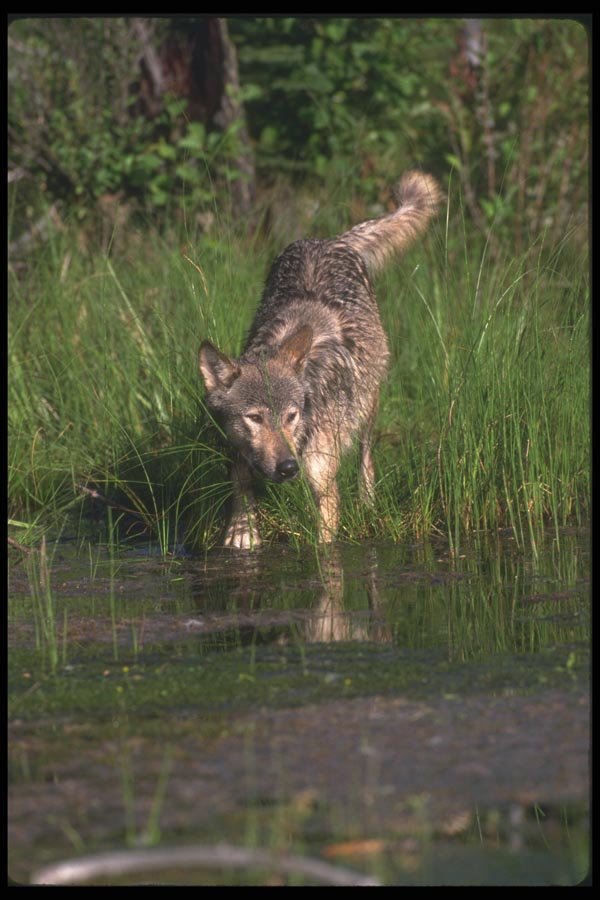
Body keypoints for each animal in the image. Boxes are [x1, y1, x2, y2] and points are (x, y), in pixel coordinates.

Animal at [199, 171, 442, 548]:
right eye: (254, 418)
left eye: (291, 416)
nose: (287, 468)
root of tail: (329, 240)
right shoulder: (239, 455)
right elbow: (241, 486)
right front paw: (242, 531)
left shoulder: (324, 487)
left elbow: (325, 544)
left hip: (368, 408)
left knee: (367, 459)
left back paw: (368, 502)